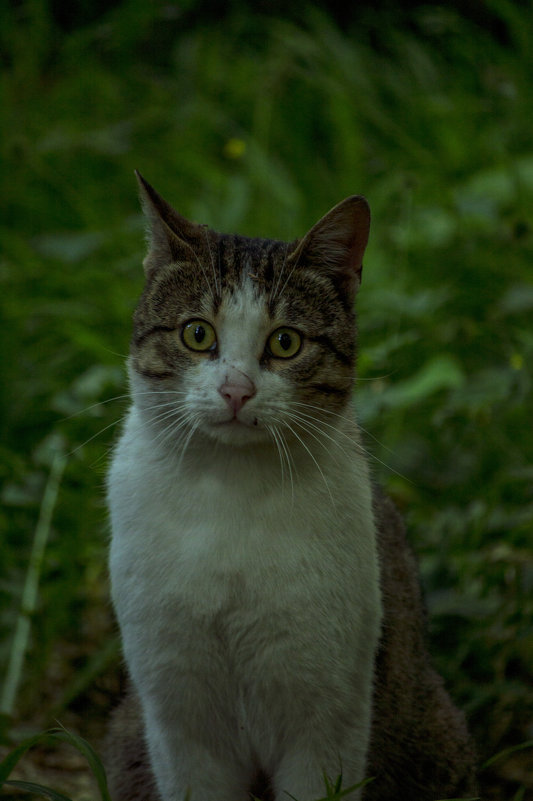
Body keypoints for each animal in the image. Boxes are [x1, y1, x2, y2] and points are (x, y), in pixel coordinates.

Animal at [105, 175, 478, 800]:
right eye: (197, 333)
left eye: (285, 343)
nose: (235, 390)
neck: (230, 494)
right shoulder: (176, 715)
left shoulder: (328, 717)